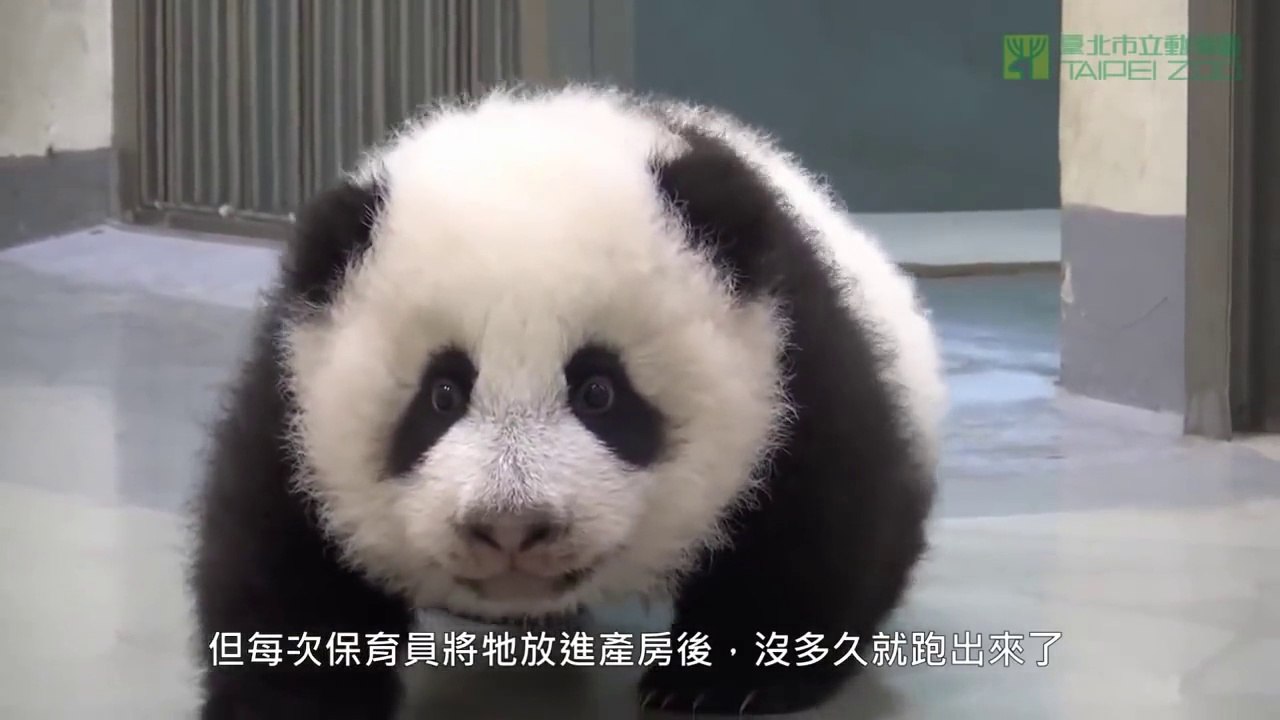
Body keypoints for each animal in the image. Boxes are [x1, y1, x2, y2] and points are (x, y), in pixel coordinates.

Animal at [190, 84, 946, 718]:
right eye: (442, 394)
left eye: (599, 391)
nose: (511, 527)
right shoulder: (300, 390)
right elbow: (281, 551)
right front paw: (291, 700)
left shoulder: (787, 362)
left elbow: (818, 513)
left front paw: (721, 681)